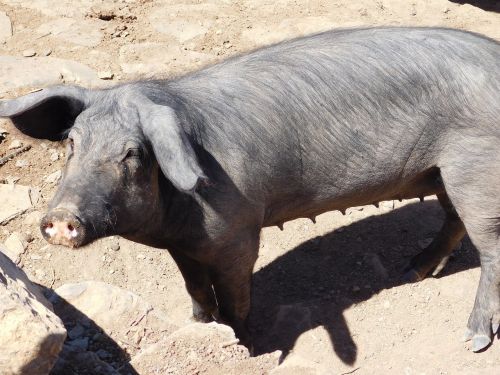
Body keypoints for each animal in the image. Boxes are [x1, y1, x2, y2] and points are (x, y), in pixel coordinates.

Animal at [0, 27, 498, 354]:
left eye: (134, 153)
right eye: (72, 142)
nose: (61, 217)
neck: (174, 220)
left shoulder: (237, 231)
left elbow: (236, 294)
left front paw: (244, 345)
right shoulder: (184, 245)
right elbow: (195, 288)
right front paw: (200, 326)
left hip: (477, 167)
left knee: (489, 248)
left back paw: (472, 340)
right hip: (442, 172)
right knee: (453, 221)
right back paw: (411, 271)